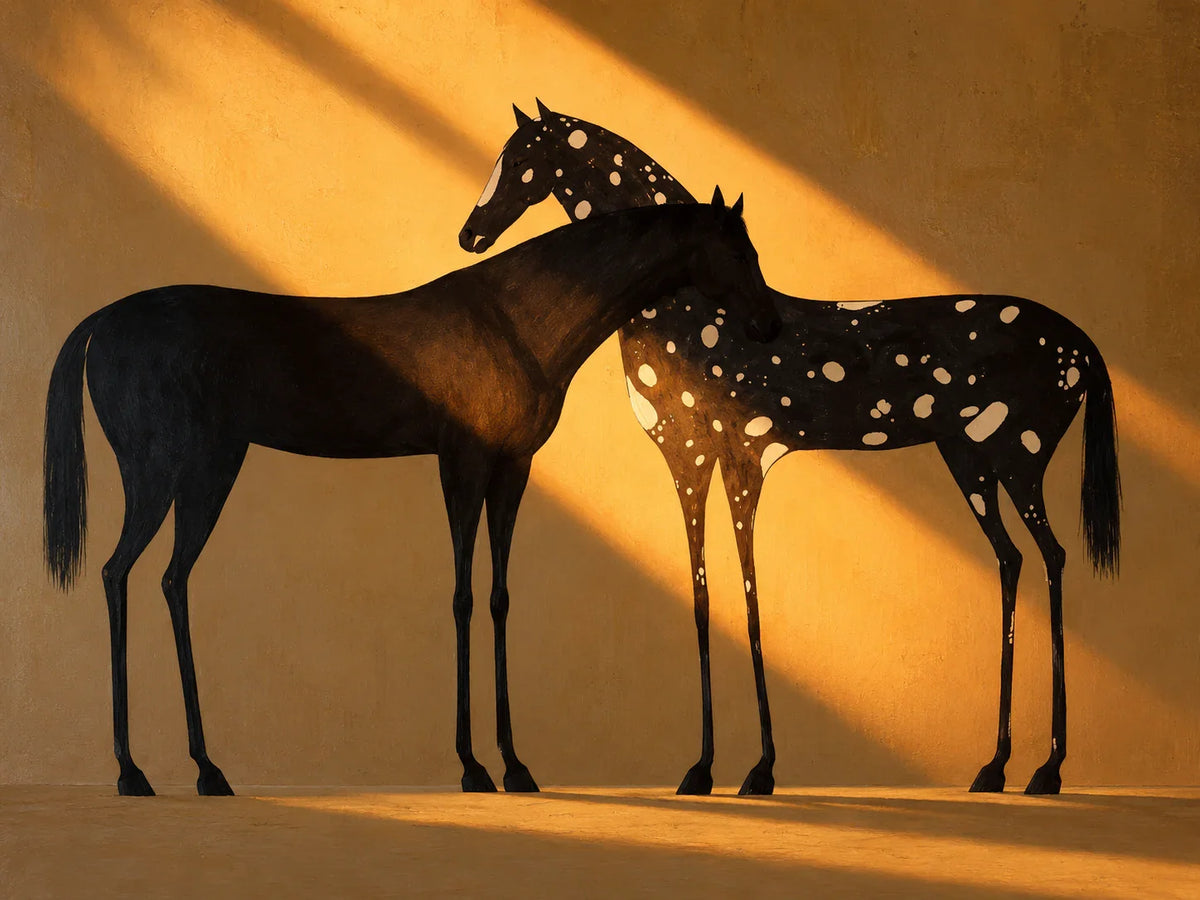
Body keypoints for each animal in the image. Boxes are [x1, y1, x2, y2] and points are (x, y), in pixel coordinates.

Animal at [44, 193, 781, 797]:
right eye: (739, 250)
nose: (767, 324)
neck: (518, 322)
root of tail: (103, 320)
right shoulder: (461, 462)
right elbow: (461, 597)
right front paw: (473, 765)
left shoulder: (512, 468)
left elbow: (498, 598)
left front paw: (515, 765)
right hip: (164, 468)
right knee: (119, 573)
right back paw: (135, 771)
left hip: (208, 466)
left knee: (169, 580)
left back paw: (202, 768)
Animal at [457, 100, 1121, 797]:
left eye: (517, 159)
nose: (470, 236)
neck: (688, 308)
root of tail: (1082, 343)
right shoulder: (694, 455)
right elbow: (706, 596)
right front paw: (708, 767)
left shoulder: (731, 454)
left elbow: (747, 595)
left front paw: (754, 768)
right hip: (970, 457)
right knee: (1012, 559)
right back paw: (993, 767)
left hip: (1019, 455)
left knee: (1052, 556)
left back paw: (1047, 769)